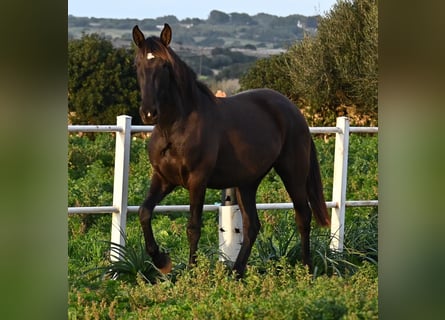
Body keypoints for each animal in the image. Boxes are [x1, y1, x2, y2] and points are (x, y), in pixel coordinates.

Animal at [130, 23, 328, 276]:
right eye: (137, 65)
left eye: (164, 65)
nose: (148, 113)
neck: (174, 127)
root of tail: (294, 111)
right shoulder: (164, 178)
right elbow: (144, 212)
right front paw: (162, 260)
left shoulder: (198, 180)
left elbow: (193, 227)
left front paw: (191, 272)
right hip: (247, 183)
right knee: (252, 225)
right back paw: (236, 272)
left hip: (292, 173)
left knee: (303, 216)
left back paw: (306, 269)